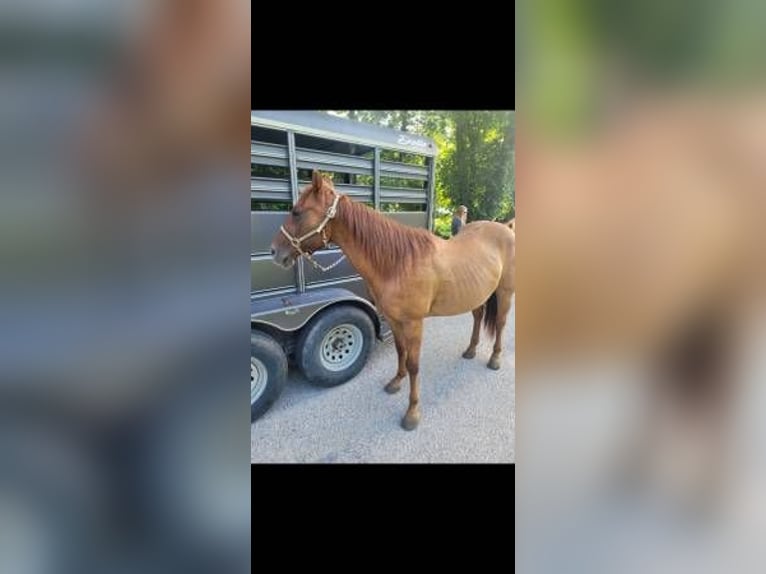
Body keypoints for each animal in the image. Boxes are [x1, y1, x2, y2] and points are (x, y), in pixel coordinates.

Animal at [270, 171, 516, 432]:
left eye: (297, 212)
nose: (274, 251)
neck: (398, 263)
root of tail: (506, 227)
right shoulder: (394, 319)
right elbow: (400, 352)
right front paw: (396, 382)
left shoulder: (414, 323)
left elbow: (414, 364)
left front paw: (412, 413)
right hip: (479, 293)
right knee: (478, 317)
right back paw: (470, 350)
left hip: (504, 292)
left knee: (500, 323)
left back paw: (495, 358)